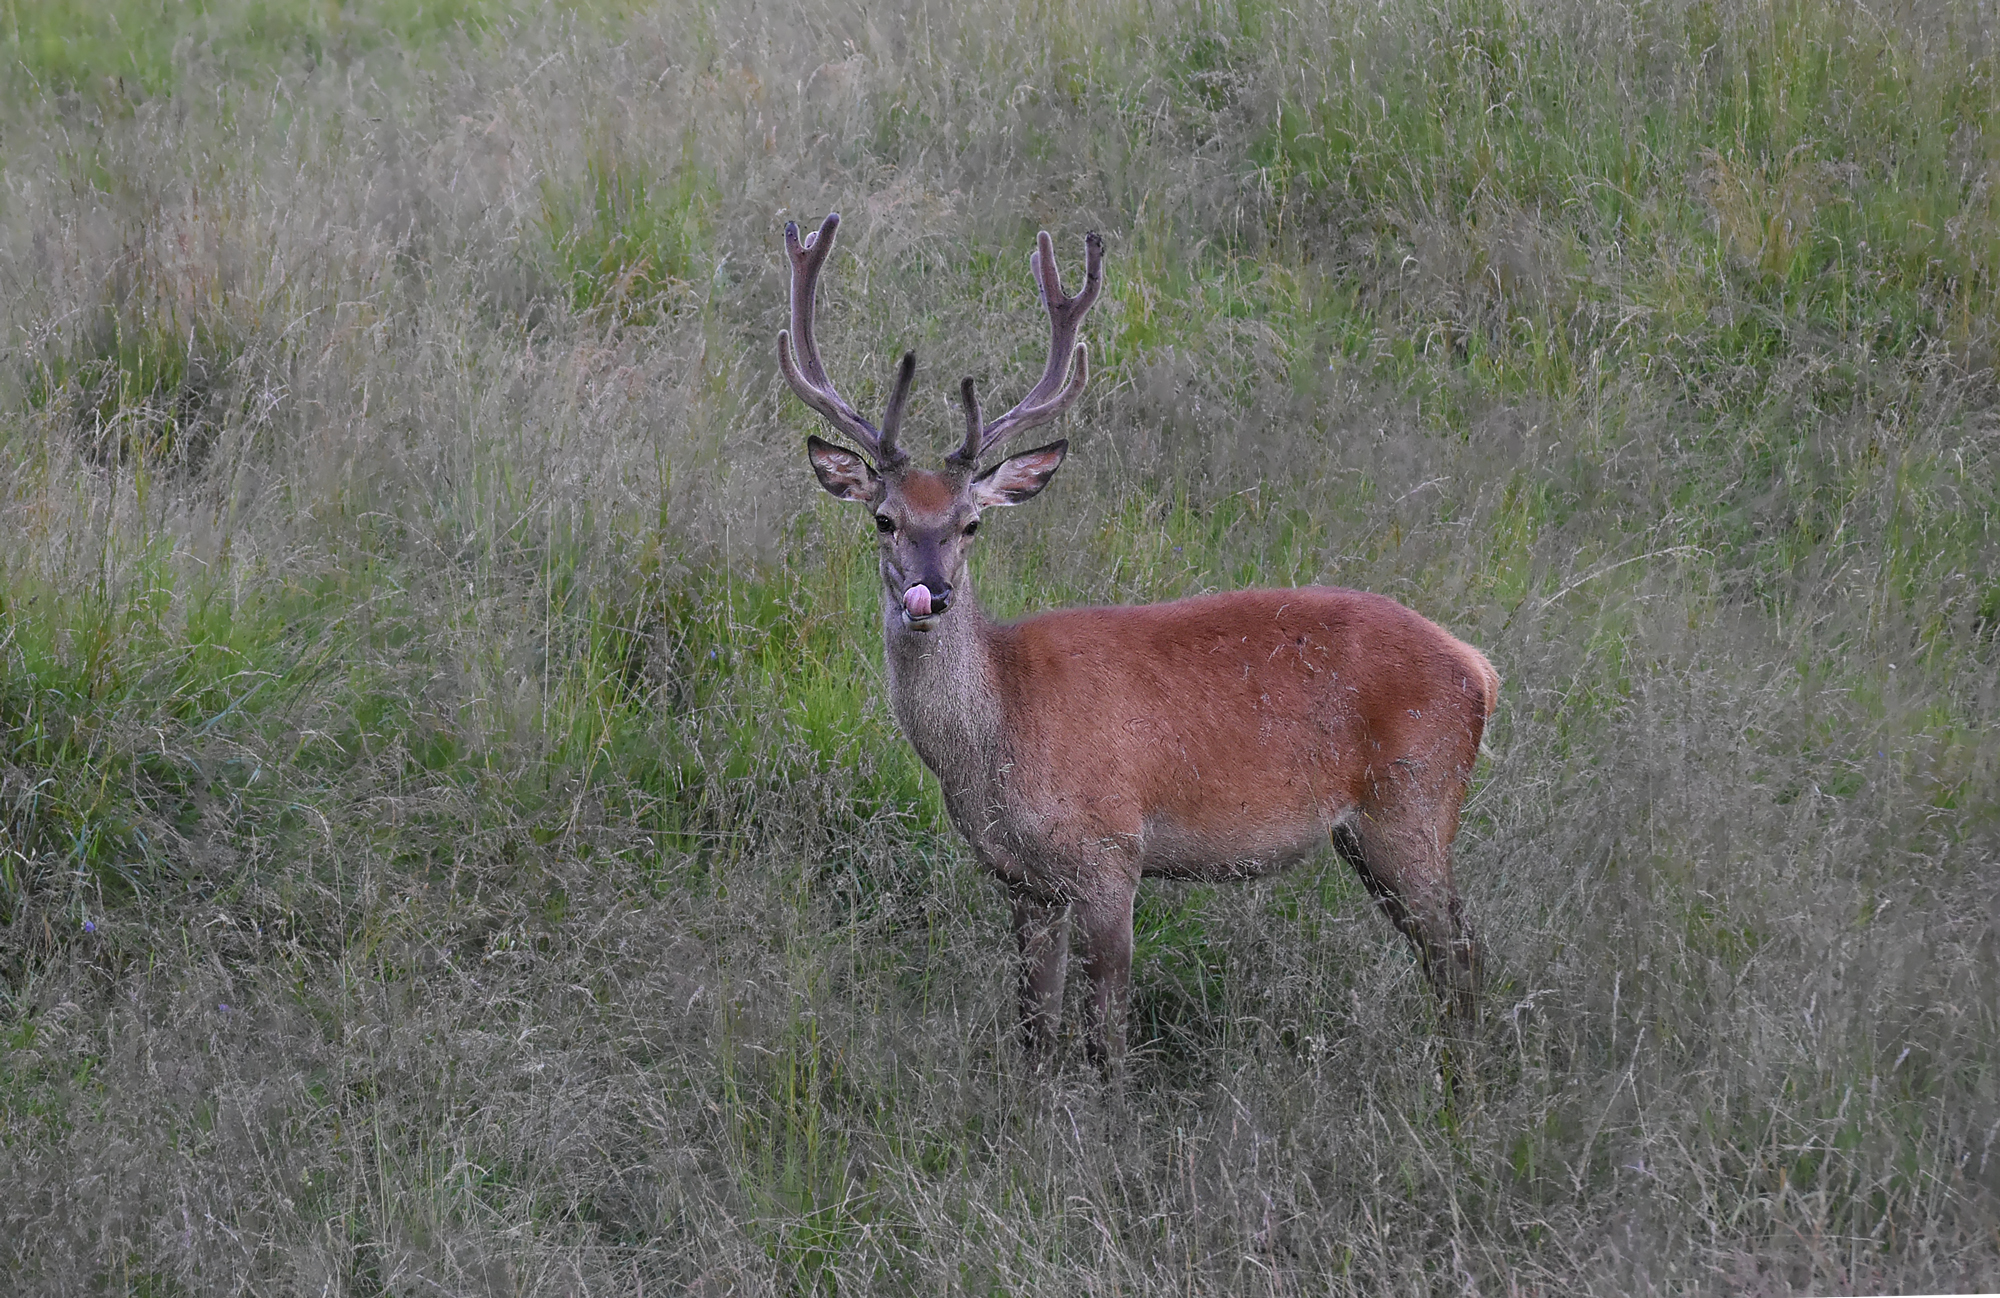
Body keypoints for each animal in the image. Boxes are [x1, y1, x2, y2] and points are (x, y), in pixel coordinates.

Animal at [779, 212, 1499, 1068]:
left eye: (971, 524)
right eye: (883, 519)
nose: (931, 594)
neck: (998, 729)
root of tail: (1479, 668)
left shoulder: (1111, 853)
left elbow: (1107, 1037)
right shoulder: (1022, 882)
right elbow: (1035, 1029)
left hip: (1413, 803)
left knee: (1461, 960)